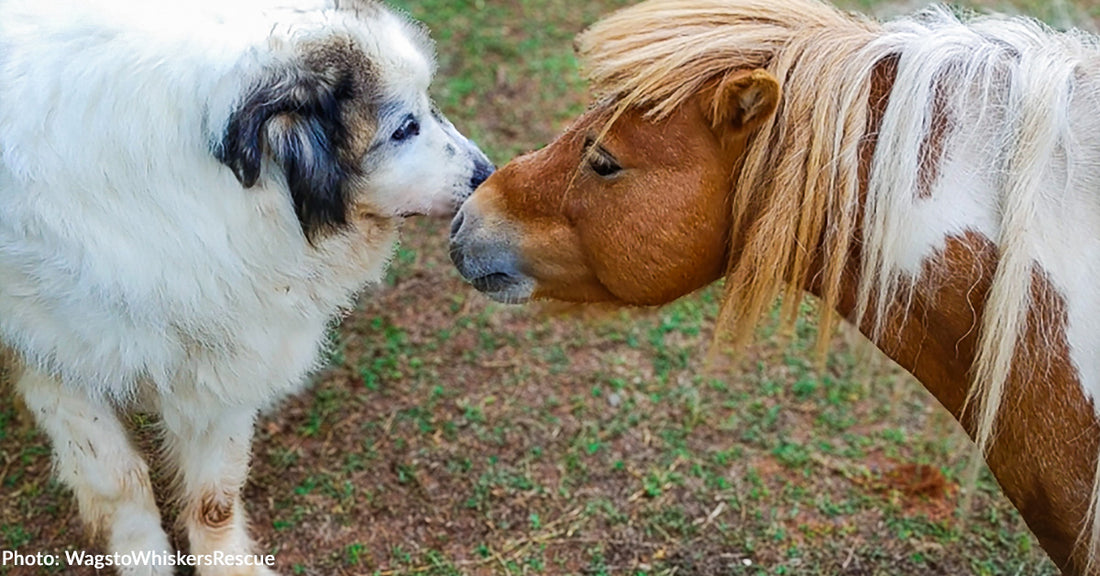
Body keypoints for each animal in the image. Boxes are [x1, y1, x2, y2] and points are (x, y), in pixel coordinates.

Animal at [0, 1, 492, 571]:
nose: (486, 173)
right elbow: (118, 481)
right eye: (404, 128)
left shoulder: (231, 350)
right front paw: (146, 561)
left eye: (426, 105)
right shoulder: (56, 358)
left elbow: (216, 494)